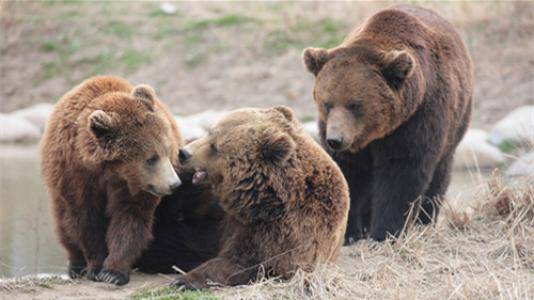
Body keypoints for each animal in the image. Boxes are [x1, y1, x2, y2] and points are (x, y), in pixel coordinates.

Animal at [41, 76, 184, 284]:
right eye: (151, 158)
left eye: (168, 150)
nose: (174, 184)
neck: (110, 170)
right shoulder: (76, 175)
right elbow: (86, 220)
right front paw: (96, 268)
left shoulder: (133, 185)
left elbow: (129, 217)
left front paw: (113, 273)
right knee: (64, 225)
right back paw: (75, 265)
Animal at [174, 106, 352, 290]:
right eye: (209, 132)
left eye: (215, 147)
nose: (183, 153)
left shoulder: (288, 231)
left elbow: (246, 261)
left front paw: (185, 279)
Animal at [304, 5, 476, 244]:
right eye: (327, 103)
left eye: (354, 104)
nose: (335, 140)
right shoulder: (345, 139)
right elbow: (349, 172)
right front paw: (349, 232)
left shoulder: (417, 120)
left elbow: (401, 171)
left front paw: (385, 232)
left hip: (456, 123)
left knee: (440, 173)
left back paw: (424, 221)